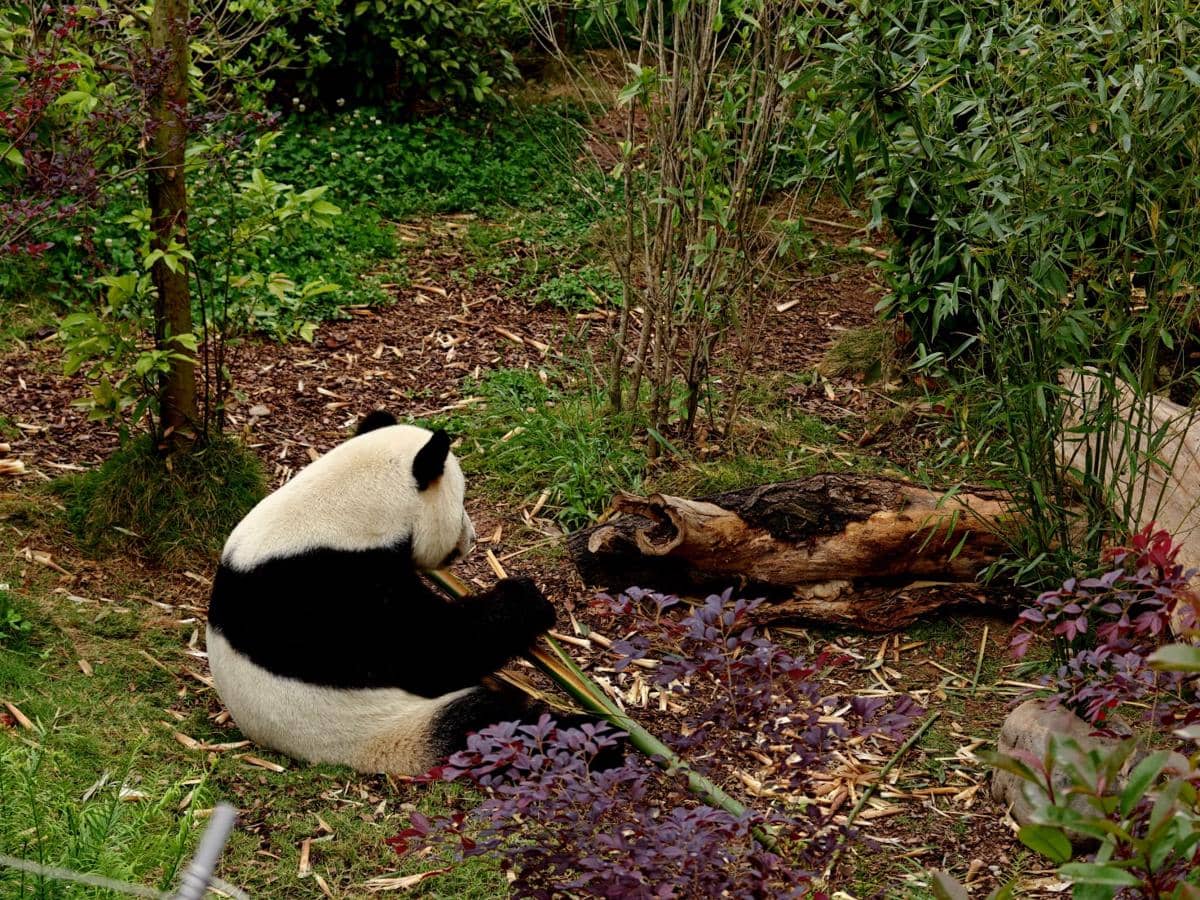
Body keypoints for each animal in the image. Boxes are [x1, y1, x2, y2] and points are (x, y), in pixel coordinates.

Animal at [206, 410, 611, 775]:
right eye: (462, 502)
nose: (472, 538)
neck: (336, 509)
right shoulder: (328, 589)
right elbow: (430, 649)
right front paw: (525, 601)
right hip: (386, 726)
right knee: (487, 726)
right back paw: (596, 739)